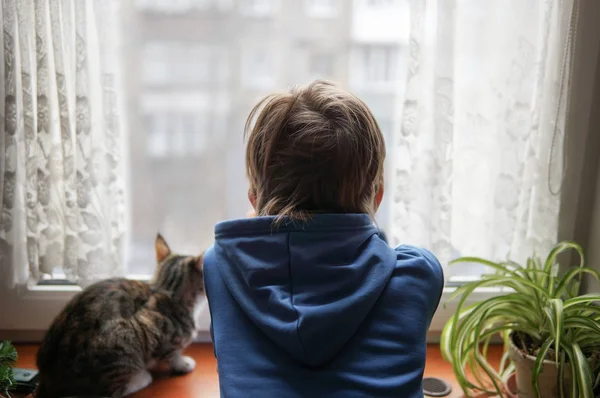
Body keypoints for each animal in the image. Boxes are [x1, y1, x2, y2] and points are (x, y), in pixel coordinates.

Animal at [37, 235, 207, 396]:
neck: (167, 289)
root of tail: (46, 378)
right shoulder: (149, 326)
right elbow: (172, 353)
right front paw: (182, 364)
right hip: (121, 338)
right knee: (109, 390)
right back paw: (141, 378)